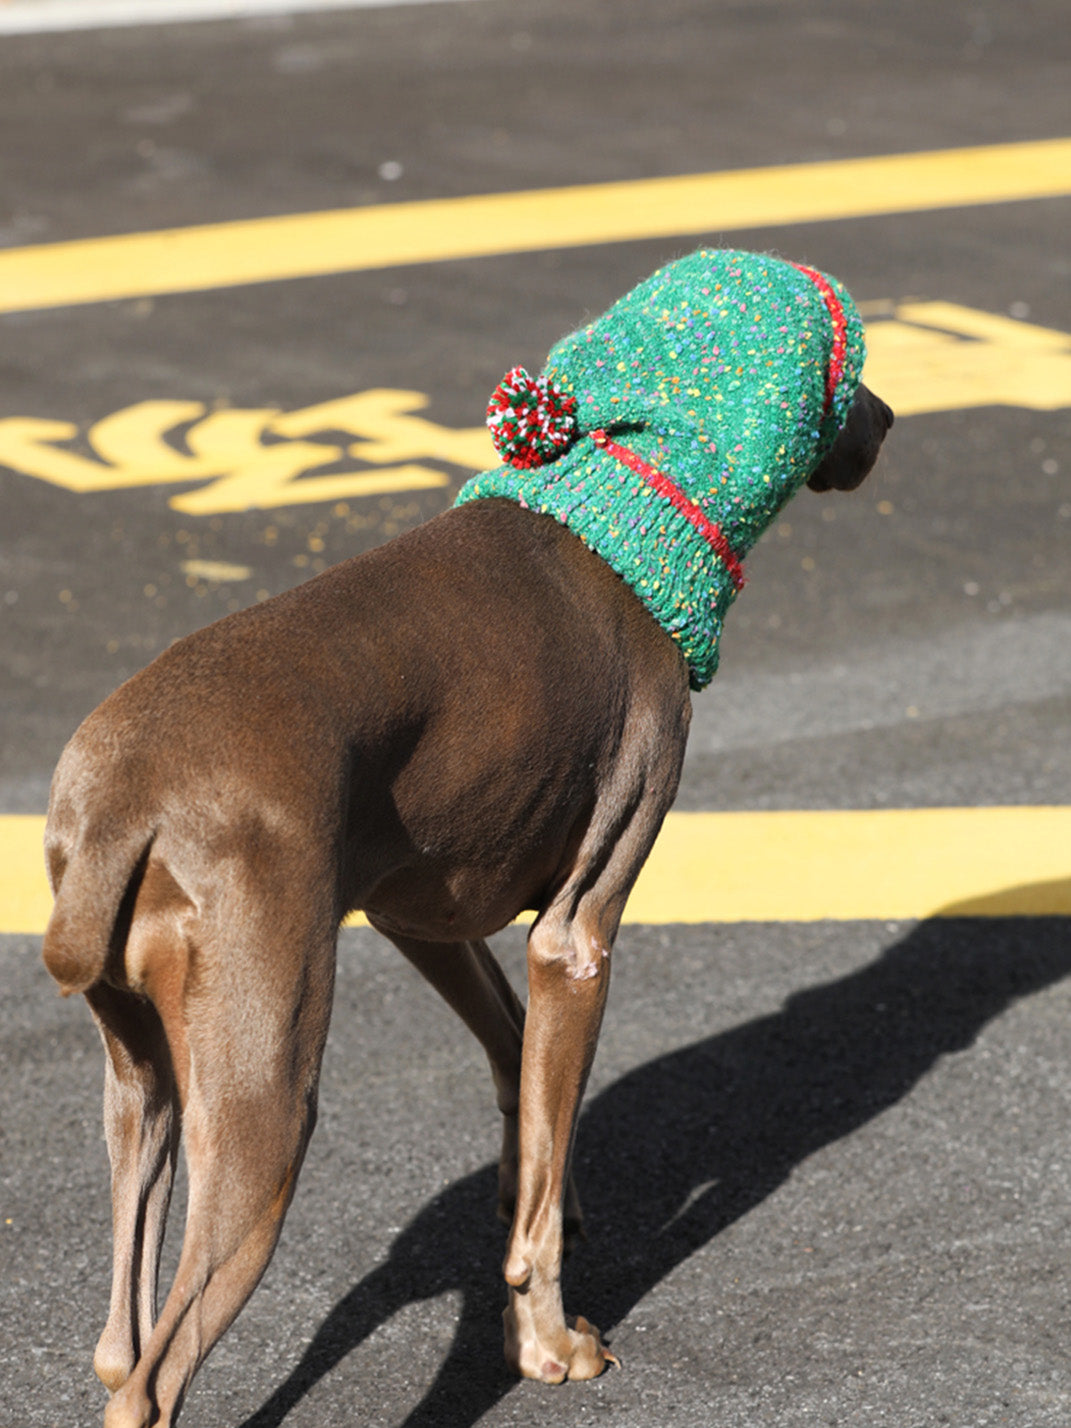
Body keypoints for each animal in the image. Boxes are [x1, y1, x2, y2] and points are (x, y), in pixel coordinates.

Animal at [42, 250, 893, 1426]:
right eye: (852, 372)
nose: (890, 420)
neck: (617, 505)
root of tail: (125, 794)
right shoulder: (576, 935)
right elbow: (538, 1185)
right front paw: (550, 1342)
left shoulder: (420, 910)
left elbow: (521, 1075)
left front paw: (540, 1195)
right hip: (263, 1109)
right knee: (155, 1379)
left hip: (144, 1086)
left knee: (121, 1344)